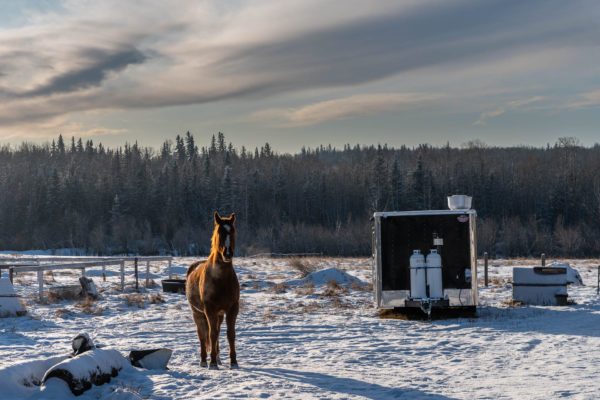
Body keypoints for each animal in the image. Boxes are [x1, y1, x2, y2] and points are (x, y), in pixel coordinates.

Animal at [185, 211, 239, 370]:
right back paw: (204, 360)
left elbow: (230, 334)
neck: (221, 280)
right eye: (219, 232)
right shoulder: (210, 310)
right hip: (198, 313)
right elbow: (212, 334)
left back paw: (219, 358)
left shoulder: (232, 308)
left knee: (217, 332)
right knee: (203, 335)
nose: (227, 254)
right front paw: (212, 363)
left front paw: (233, 362)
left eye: (232, 231)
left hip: (219, 315)